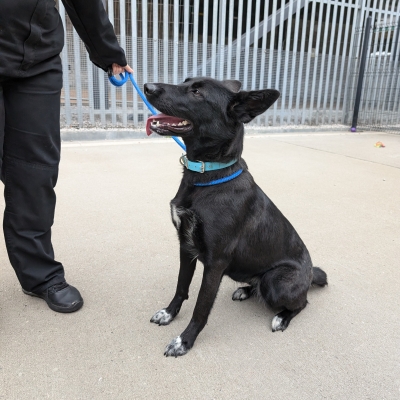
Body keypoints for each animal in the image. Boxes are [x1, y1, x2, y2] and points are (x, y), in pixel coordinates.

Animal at [145, 77, 326, 356]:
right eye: (186, 81)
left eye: (197, 92)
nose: (147, 87)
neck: (208, 176)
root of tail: (309, 275)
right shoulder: (185, 247)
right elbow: (181, 287)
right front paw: (168, 313)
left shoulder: (215, 262)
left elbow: (201, 307)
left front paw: (184, 341)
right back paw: (245, 290)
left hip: (276, 282)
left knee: (302, 303)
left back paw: (281, 317)